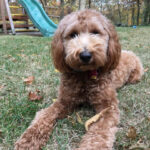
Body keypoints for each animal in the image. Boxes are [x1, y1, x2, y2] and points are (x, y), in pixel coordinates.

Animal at [14, 9, 144, 150]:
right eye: (73, 34)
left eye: (95, 32)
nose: (85, 55)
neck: (85, 76)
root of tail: (129, 52)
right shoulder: (64, 101)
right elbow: (45, 114)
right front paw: (29, 139)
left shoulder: (108, 107)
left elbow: (99, 131)